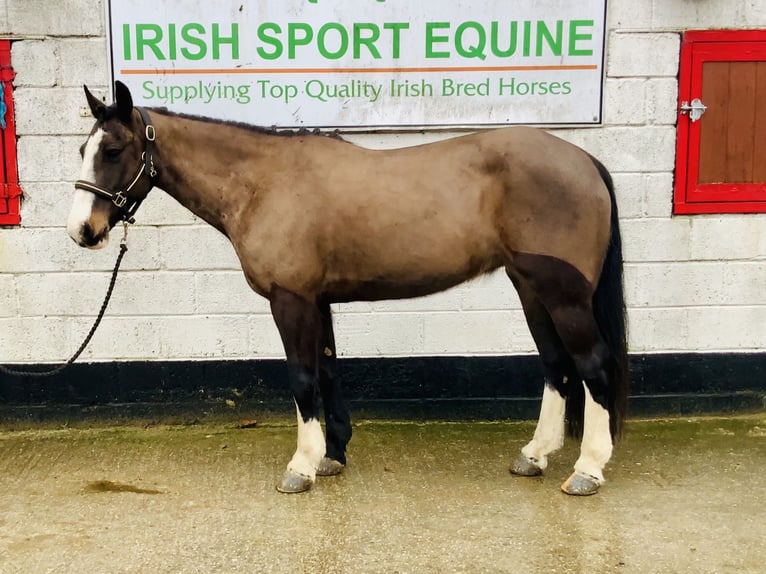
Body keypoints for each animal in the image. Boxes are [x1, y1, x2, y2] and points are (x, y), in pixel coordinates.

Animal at [68, 81, 629, 496]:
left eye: (114, 149)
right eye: (82, 149)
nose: (82, 231)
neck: (264, 183)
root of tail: (585, 162)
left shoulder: (291, 300)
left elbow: (301, 378)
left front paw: (301, 466)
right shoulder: (318, 301)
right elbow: (327, 372)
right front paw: (332, 456)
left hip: (563, 294)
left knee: (593, 364)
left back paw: (587, 468)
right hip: (530, 287)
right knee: (556, 366)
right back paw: (535, 456)